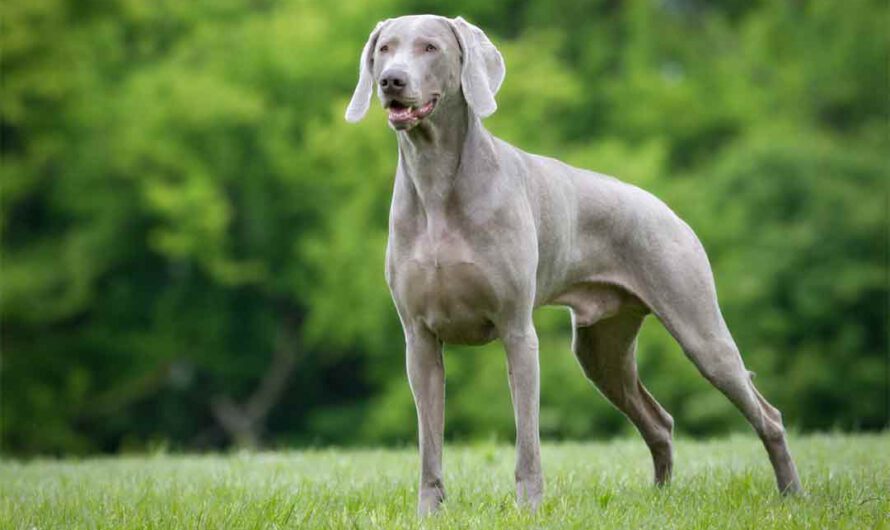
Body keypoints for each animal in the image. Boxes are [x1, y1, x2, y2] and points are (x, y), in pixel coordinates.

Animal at [344, 15, 800, 512]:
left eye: (430, 47)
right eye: (384, 49)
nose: (392, 81)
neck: (436, 182)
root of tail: (667, 209)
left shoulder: (517, 331)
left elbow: (527, 438)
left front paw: (528, 508)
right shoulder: (419, 339)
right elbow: (430, 442)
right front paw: (429, 512)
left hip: (699, 328)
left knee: (767, 413)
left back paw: (791, 493)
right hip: (601, 349)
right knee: (659, 421)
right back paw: (660, 498)